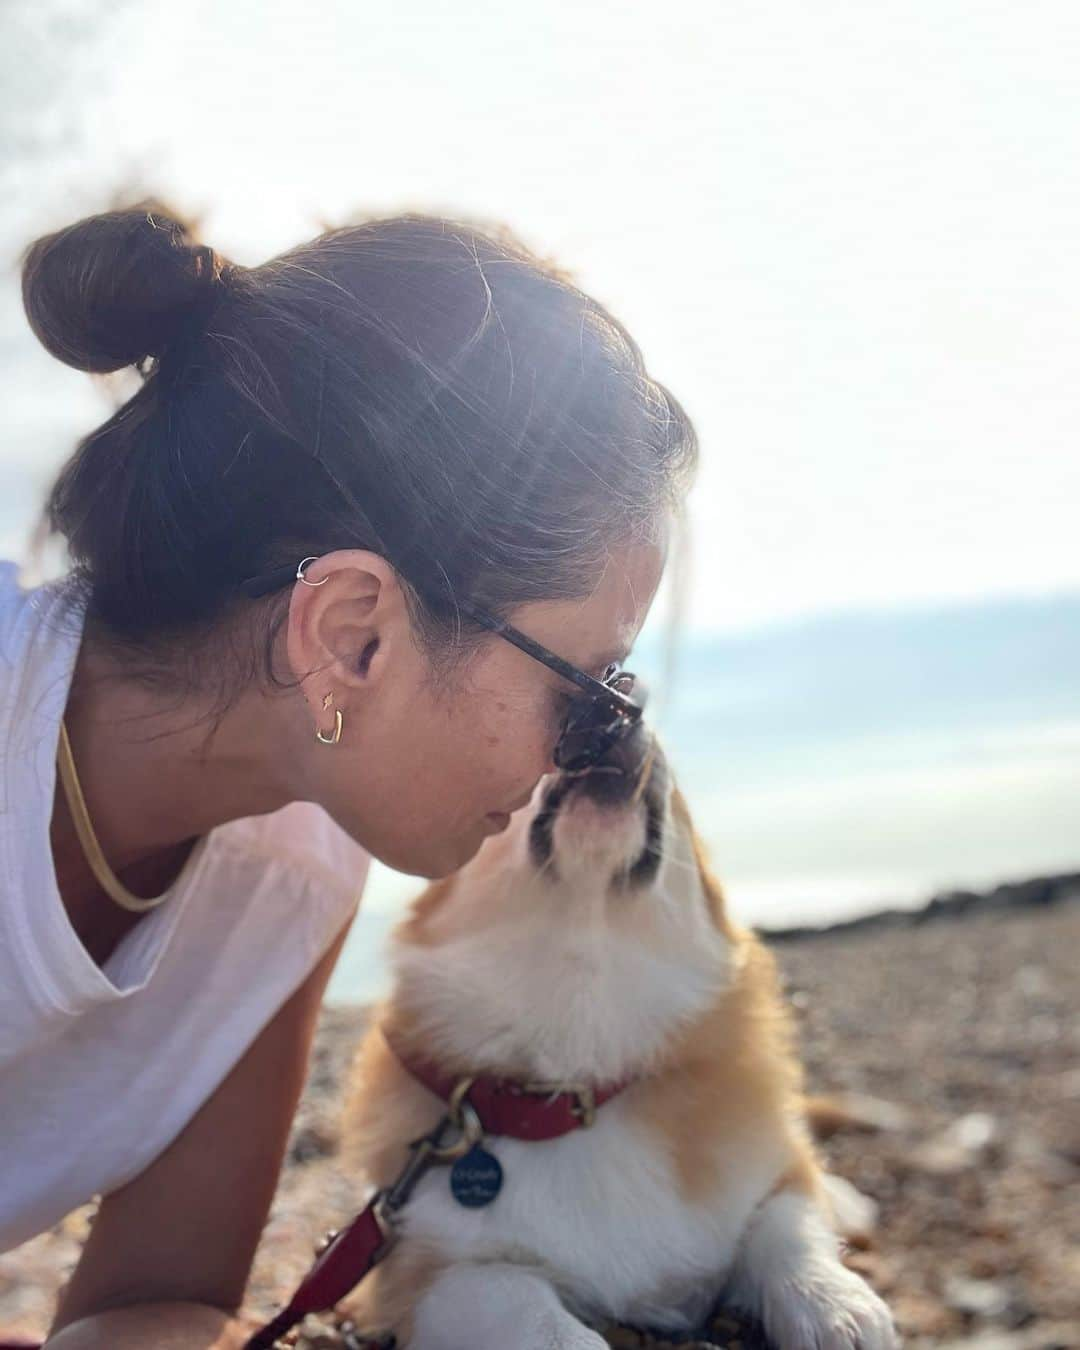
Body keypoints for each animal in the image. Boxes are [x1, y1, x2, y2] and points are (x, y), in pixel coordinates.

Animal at [341, 723, 896, 1350]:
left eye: (675, 796)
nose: (621, 717)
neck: (575, 1084)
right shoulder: (418, 1274)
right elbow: (522, 1306)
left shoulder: (769, 1180)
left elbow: (785, 1221)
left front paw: (833, 1301)